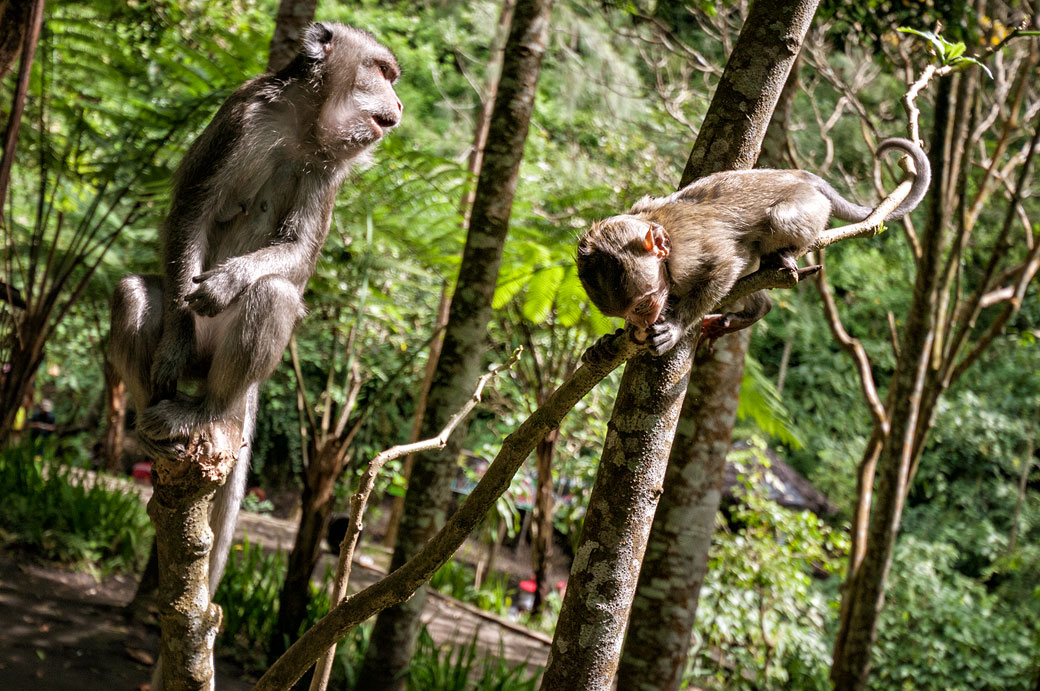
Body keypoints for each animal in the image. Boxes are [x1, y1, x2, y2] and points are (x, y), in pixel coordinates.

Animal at [110, 21, 401, 586]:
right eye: (381, 70)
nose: (398, 101)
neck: (304, 124)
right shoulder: (244, 115)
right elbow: (192, 213)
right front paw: (174, 340)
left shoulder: (329, 169)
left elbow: (299, 256)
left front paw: (229, 281)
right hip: (190, 351)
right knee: (135, 293)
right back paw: (154, 421)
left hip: (222, 367)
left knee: (274, 296)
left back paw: (204, 412)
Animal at [578, 139, 935, 355]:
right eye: (628, 312)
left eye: (643, 304)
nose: (641, 323)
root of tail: (801, 175)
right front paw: (612, 340)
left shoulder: (689, 253)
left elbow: (726, 266)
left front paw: (675, 327)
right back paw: (758, 308)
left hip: (810, 206)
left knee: (778, 221)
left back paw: (782, 258)